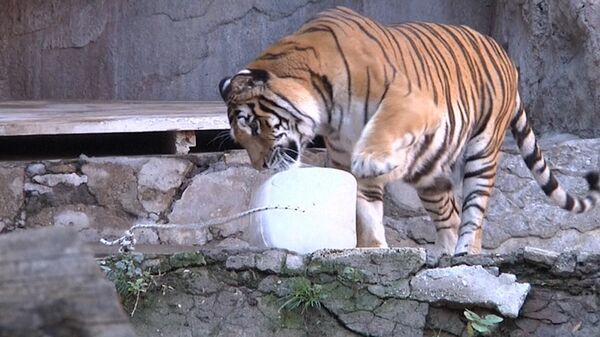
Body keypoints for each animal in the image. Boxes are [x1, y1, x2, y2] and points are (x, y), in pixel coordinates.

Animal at [218, 5, 596, 255]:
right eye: (240, 137)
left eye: (253, 124)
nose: (260, 166)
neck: (324, 105)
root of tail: (504, 54)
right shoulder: (342, 153)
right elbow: (365, 208)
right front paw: (372, 249)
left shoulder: (408, 102)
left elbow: (383, 130)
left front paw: (374, 161)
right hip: (430, 171)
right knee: (449, 212)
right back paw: (444, 256)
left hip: (482, 150)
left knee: (474, 212)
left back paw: (466, 254)